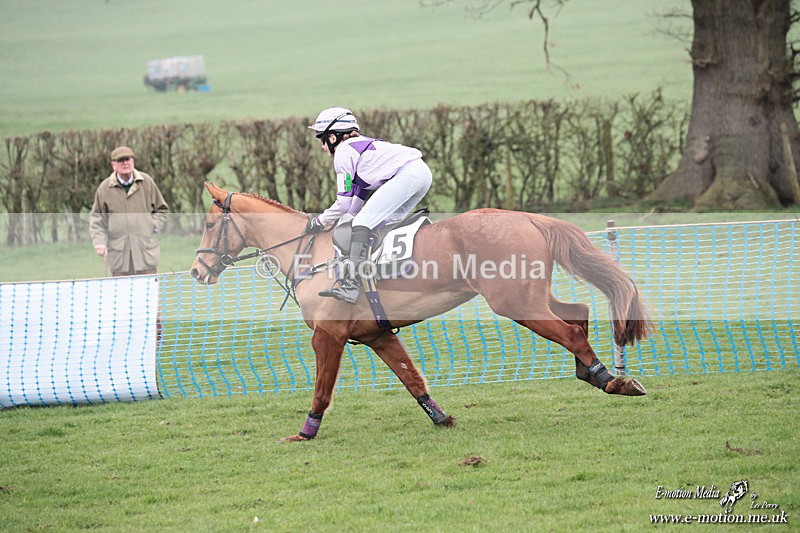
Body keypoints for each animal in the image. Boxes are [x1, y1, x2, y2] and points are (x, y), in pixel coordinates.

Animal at [191, 182, 651, 442]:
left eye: (210, 225)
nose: (197, 270)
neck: (310, 253)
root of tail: (529, 219)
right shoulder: (377, 334)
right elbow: (411, 379)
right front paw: (442, 418)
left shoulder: (328, 335)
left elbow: (322, 388)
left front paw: (305, 433)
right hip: (529, 297)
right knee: (578, 311)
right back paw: (591, 372)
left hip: (515, 302)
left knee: (571, 331)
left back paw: (611, 380)